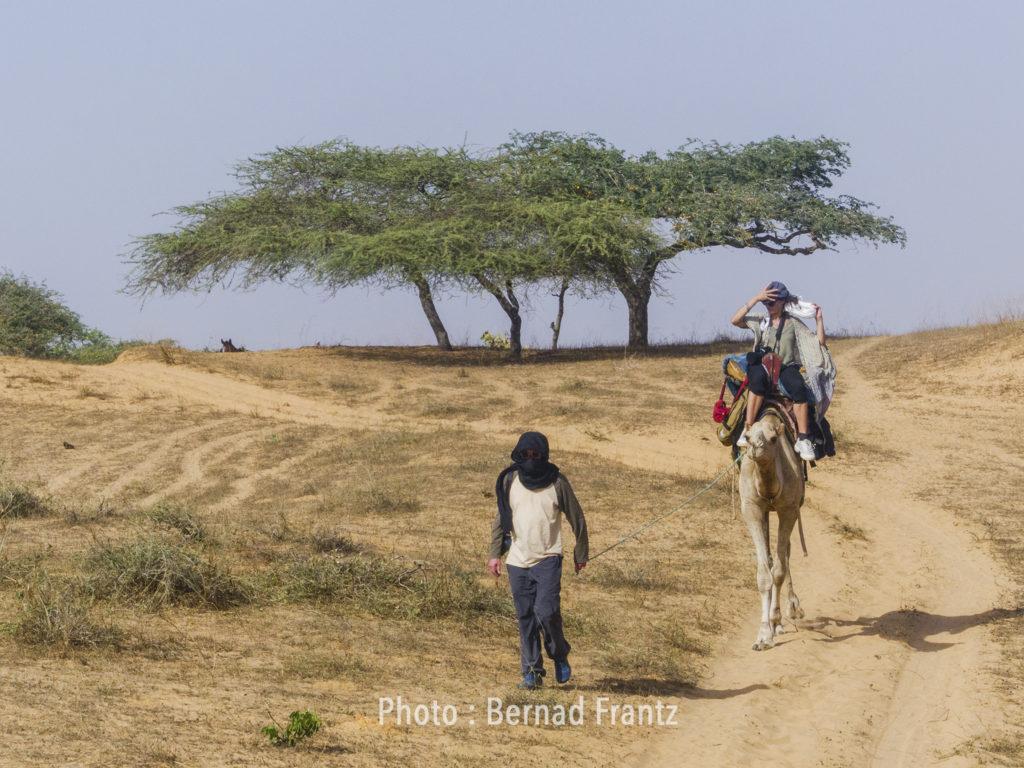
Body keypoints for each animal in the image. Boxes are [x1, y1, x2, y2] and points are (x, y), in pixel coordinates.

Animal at [741, 409, 802, 651]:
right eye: (748, 437)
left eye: (774, 439)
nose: (754, 448)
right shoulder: (752, 508)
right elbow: (763, 574)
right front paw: (763, 635)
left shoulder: (789, 509)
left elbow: (778, 571)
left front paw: (774, 622)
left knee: (786, 553)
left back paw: (792, 609)